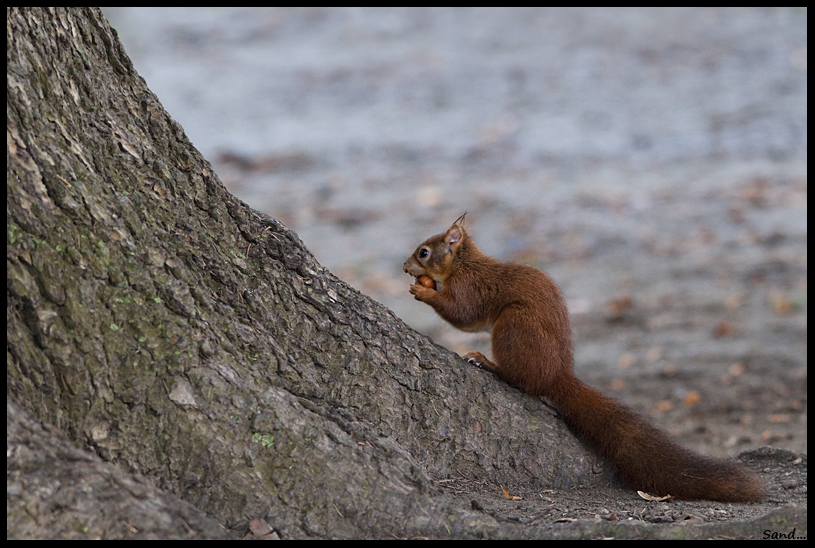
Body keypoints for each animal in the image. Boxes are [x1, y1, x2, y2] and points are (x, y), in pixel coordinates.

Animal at [406, 214, 764, 500]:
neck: (463, 264)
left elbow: (461, 315)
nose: (405, 267)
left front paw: (423, 291)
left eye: (424, 252)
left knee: (523, 382)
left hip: (515, 326)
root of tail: (557, 373)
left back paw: (488, 363)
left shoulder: (471, 288)